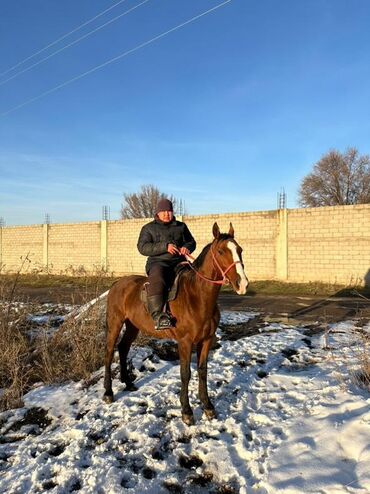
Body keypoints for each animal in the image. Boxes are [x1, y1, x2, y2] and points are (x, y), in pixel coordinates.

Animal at [103, 223, 249, 424]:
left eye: (240, 250)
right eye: (220, 251)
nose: (242, 284)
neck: (197, 297)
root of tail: (117, 283)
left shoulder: (206, 340)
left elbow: (202, 371)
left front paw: (208, 406)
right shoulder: (185, 342)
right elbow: (185, 373)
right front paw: (187, 411)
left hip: (133, 326)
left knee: (123, 348)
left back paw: (128, 383)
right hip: (115, 323)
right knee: (110, 352)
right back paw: (108, 392)